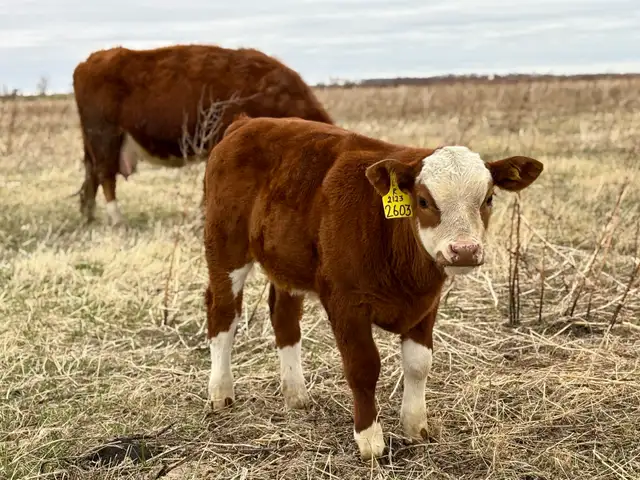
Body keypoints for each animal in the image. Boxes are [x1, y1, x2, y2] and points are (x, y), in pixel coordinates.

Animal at [72, 44, 333, 226]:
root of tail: (91, 60)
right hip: (104, 138)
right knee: (105, 177)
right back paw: (117, 219)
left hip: (94, 143)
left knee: (91, 177)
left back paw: (88, 217)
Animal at [202, 116, 543, 460]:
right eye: (423, 201)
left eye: (488, 199)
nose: (465, 251)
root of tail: (247, 122)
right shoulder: (344, 302)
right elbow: (363, 367)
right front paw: (369, 439)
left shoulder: (427, 303)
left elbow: (419, 364)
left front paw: (416, 427)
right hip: (225, 248)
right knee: (223, 313)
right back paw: (221, 392)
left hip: (287, 260)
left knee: (284, 316)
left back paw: (296, 394)